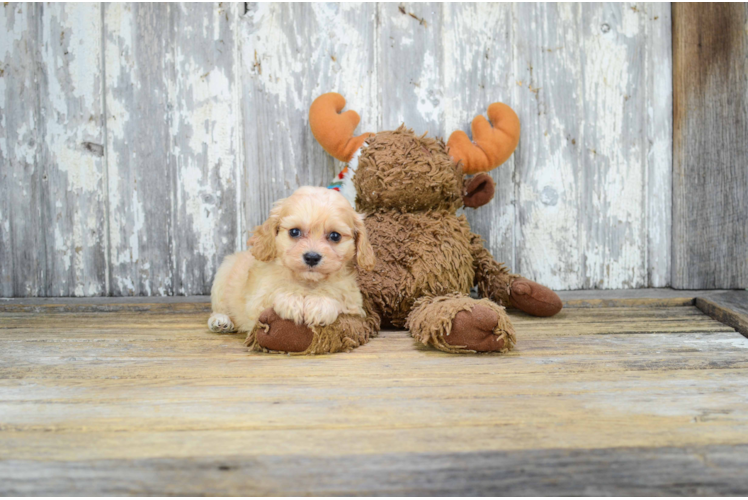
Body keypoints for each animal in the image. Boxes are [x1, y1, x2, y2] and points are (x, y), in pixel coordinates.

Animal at [207, 187, 374, 336]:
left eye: (335, 236)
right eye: (294, 232)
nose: (312, 257)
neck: (308, 281)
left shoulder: (354, 304)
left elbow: (338, 297)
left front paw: (319, 303)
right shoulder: (257, 301)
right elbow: (276, 292)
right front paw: (292, 300)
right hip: (222, 279)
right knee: (219, 308)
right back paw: (221, 321)